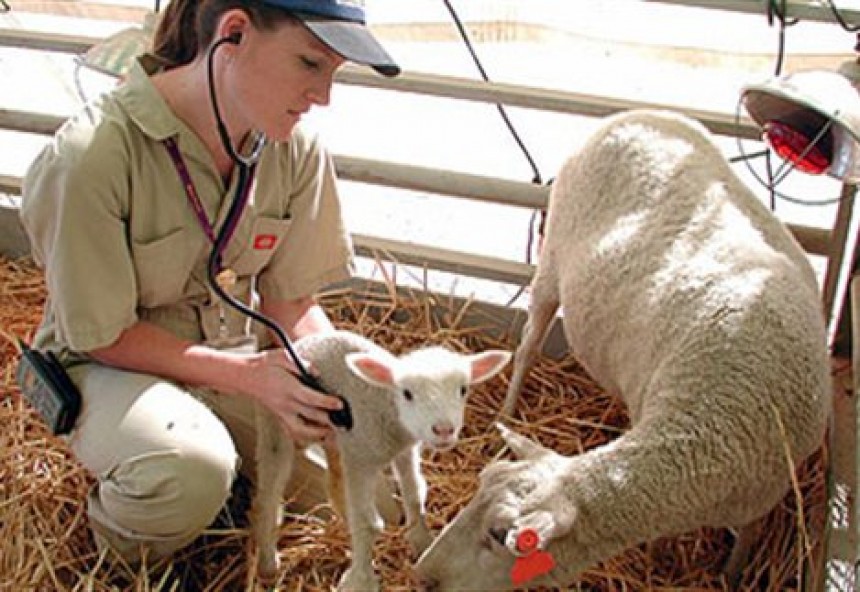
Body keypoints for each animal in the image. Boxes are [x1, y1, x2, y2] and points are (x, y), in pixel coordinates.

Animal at [247, 330, 510, 588]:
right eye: (407, 394)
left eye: (463, 389)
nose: (443, 430)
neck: (387, 406)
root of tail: (296, 345)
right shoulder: (361, 459)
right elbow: (368, 523)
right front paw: (362, 580)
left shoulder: (402, 449)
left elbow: (414, 495)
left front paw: (422, 542)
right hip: (276, 421)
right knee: (269, 494)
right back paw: (268, 564)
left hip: (337, 438)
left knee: (335, 484)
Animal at [414, 108, 832, 588]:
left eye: (500, 534)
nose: (422, 573)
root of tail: (634, 115)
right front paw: (662, 554)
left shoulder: (766, 492)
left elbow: (744, 541)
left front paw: (729, 575)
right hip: (551, 261)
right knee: (527, 348)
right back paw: (507, 409)